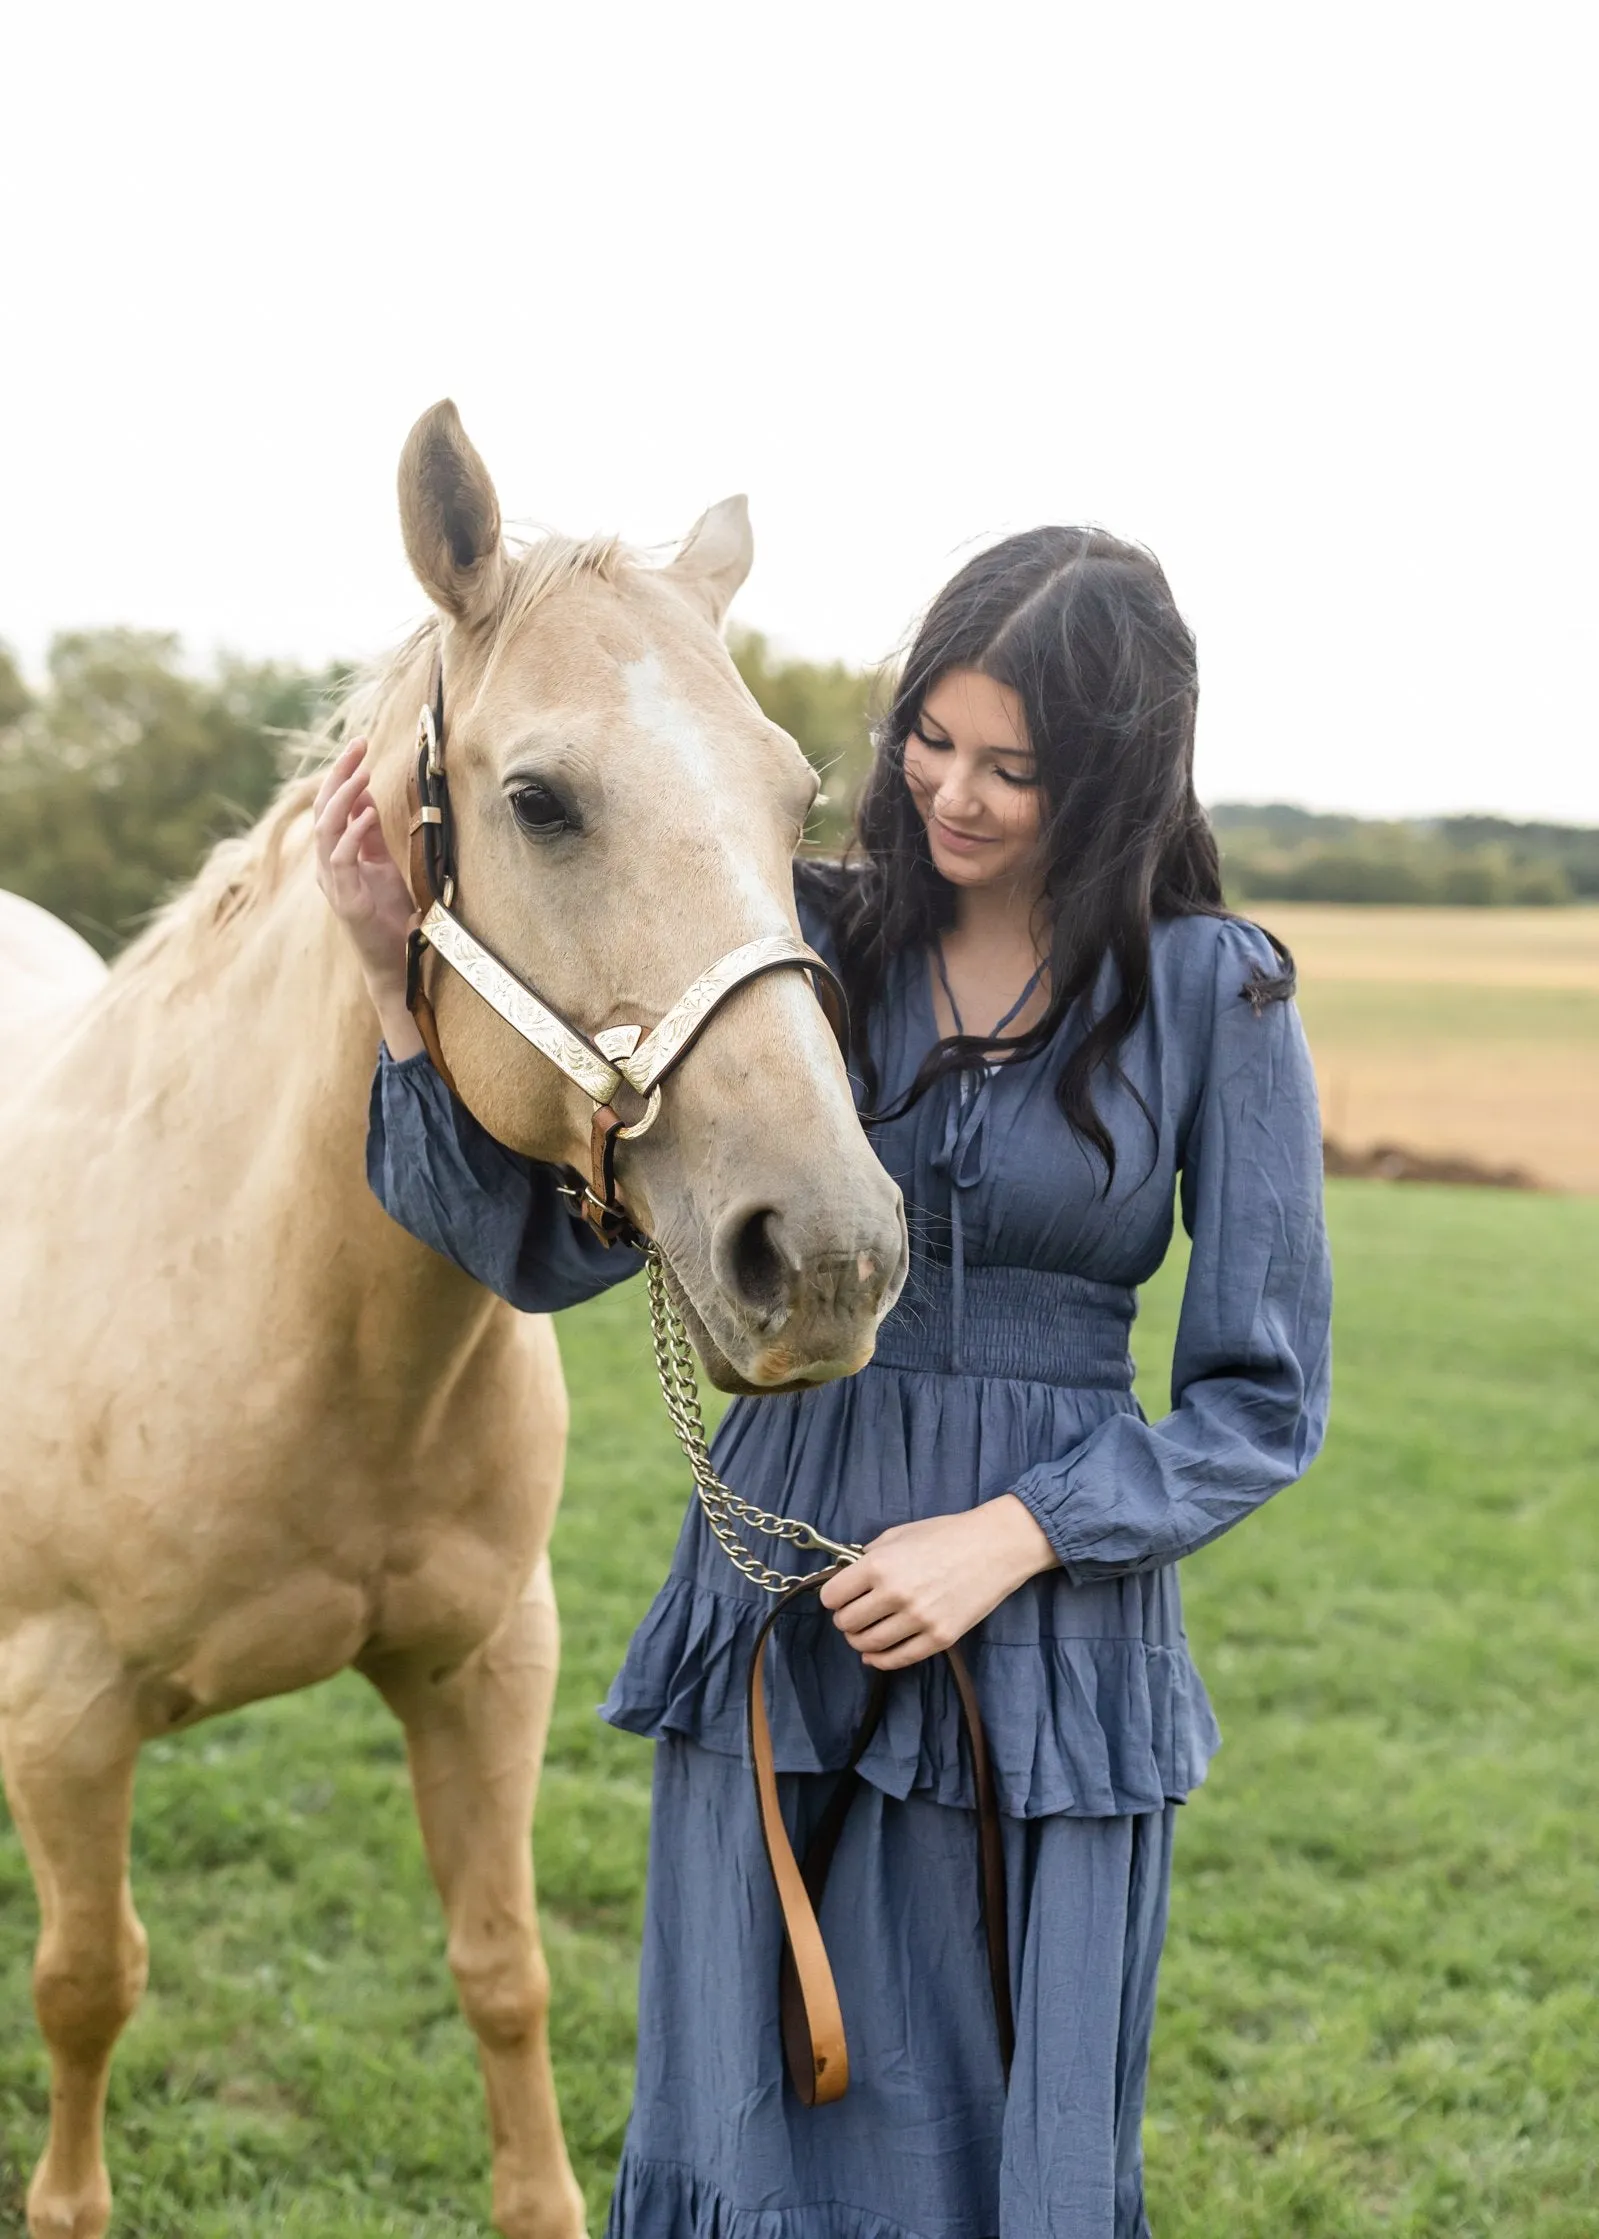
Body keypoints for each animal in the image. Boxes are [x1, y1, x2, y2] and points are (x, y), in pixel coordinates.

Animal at [0, 407, 895, 2239]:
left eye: (795, 797)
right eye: (539, 800)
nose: (827, 1251)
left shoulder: (485, 1669)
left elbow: (503, 1971)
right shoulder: (60, 1714)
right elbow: (85, 1984)